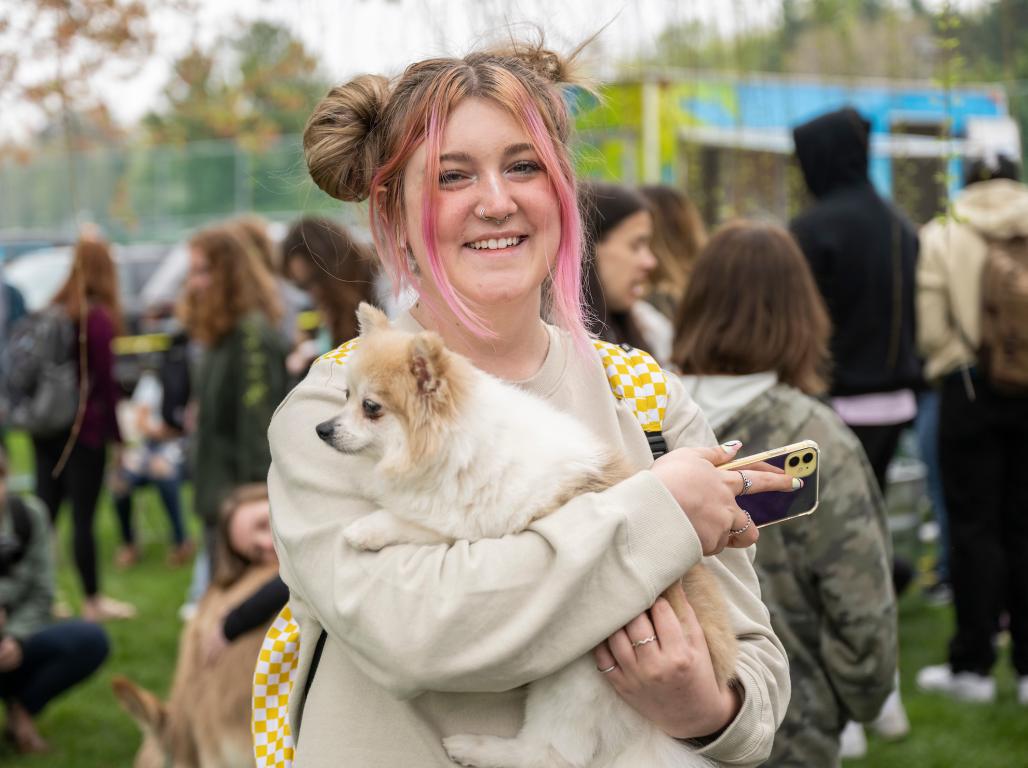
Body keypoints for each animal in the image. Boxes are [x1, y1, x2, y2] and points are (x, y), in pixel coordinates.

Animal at [316, 306, 736, 768]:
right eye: (345, 396)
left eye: (370, 407)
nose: (321, 428)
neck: (452, 440)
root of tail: (653, 735)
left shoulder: (481, 521)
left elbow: (425, 521)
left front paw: (369, 529)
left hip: (574, 679)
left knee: (551, 755)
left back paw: (475, 747)